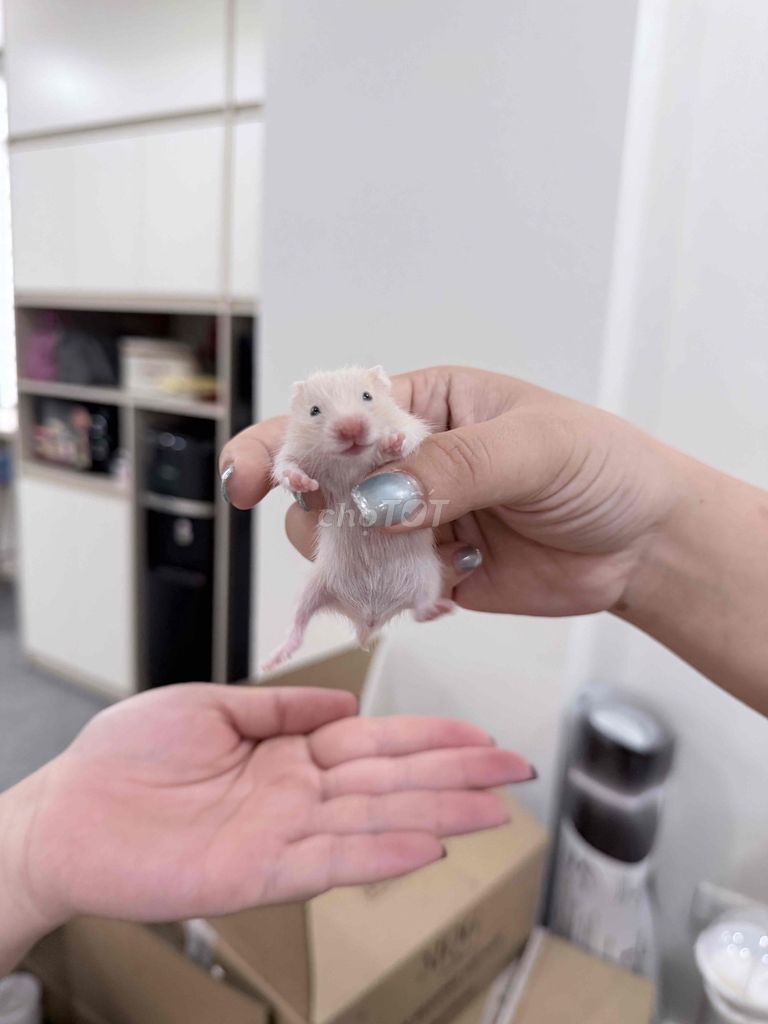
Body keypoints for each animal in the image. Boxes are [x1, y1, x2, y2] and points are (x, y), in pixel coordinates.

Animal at [261, 365, 452, 671]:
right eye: (314, 410)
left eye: (367, 396)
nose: (351, 428)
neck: (351, 463)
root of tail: (368, 621)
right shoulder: (292, 450)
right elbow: (286, 466)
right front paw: (304, 484)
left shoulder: (413, 428)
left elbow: (407, 440)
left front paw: (391, 443)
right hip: (311, 587)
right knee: (298, 625)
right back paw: (272, 661)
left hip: (429, 578)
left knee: (420, 611)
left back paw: (442, 609)